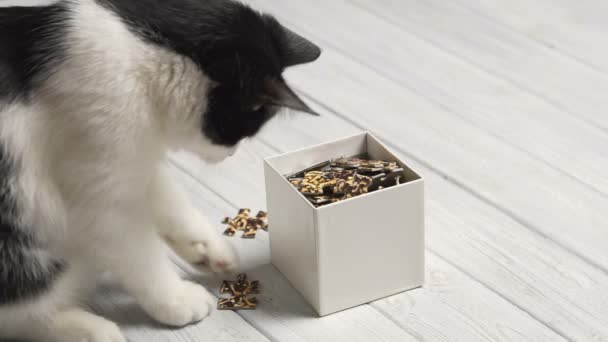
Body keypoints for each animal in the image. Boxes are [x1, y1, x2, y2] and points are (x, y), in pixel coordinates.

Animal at [0, 0, 320, 340]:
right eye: (243, 129)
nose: (230, 154)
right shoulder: (98, 186)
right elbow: (139, 254)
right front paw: (176, 301)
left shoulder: (135, 160)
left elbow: (167, 197)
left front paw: (207, 248)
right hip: (19, 249)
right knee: (24, 310)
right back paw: (88, 329)